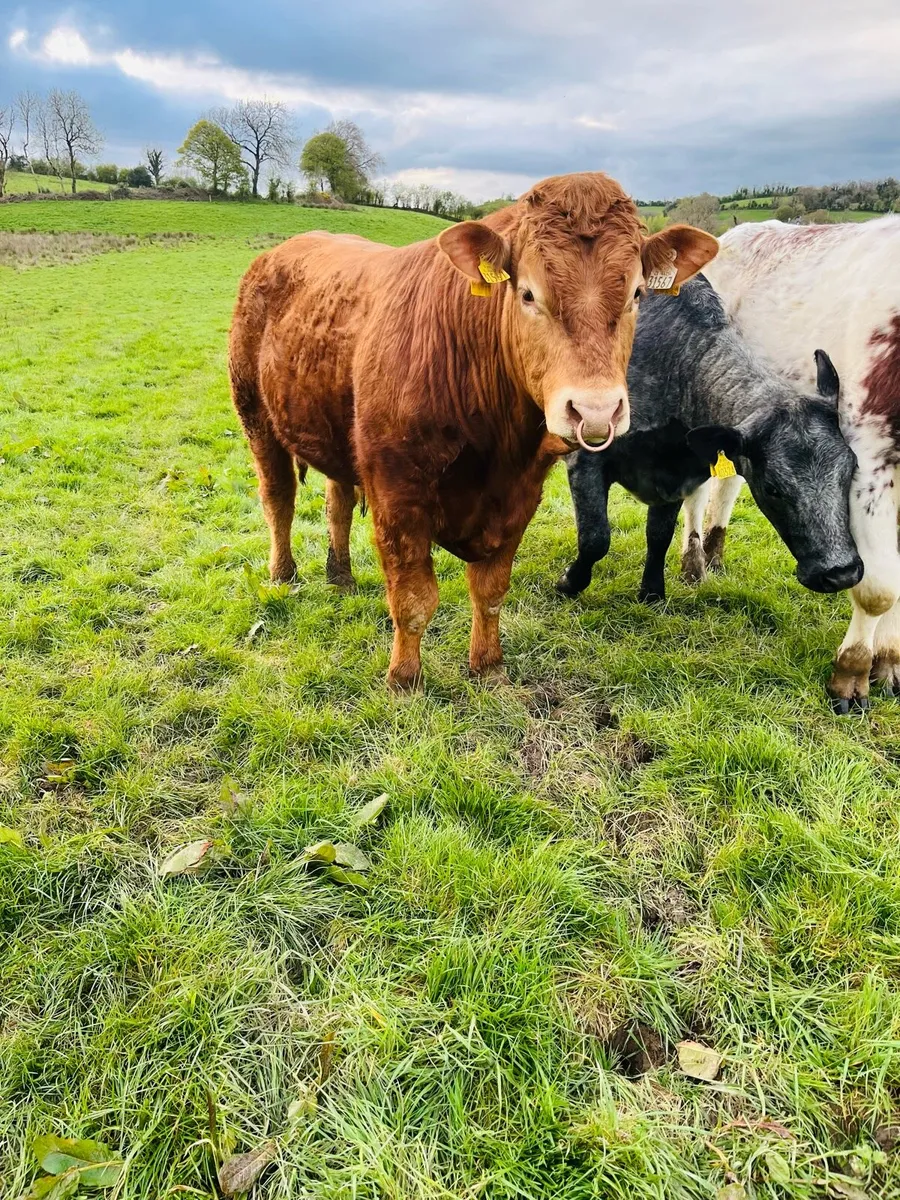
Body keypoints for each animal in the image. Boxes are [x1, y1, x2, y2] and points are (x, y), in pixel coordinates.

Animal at [229, 173, 718, 689]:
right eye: (528, 294)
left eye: (637, 295)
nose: (595, 409)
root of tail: (283, 249)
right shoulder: (396, 495)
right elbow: (413, 597)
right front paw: (404, 680)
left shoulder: (520, 494)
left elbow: (491, 590)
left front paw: (488, 666)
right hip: (255, 416)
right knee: (278, 499)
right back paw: (283, 574)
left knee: (336, 503)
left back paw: (340, 575)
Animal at [557, 275, 862, 603]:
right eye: (772, 488)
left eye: (850, 470)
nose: (841, 573)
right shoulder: (585, 457)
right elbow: (595, 538)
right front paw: (569, 583)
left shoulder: (673, 478)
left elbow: (659, 535)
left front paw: (652, 592)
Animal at [702, 216, 900, 711]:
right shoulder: (867, 455)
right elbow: (879, 587)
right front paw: (851, 673)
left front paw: (890, 662)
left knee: (728, 480)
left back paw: (713, 553)